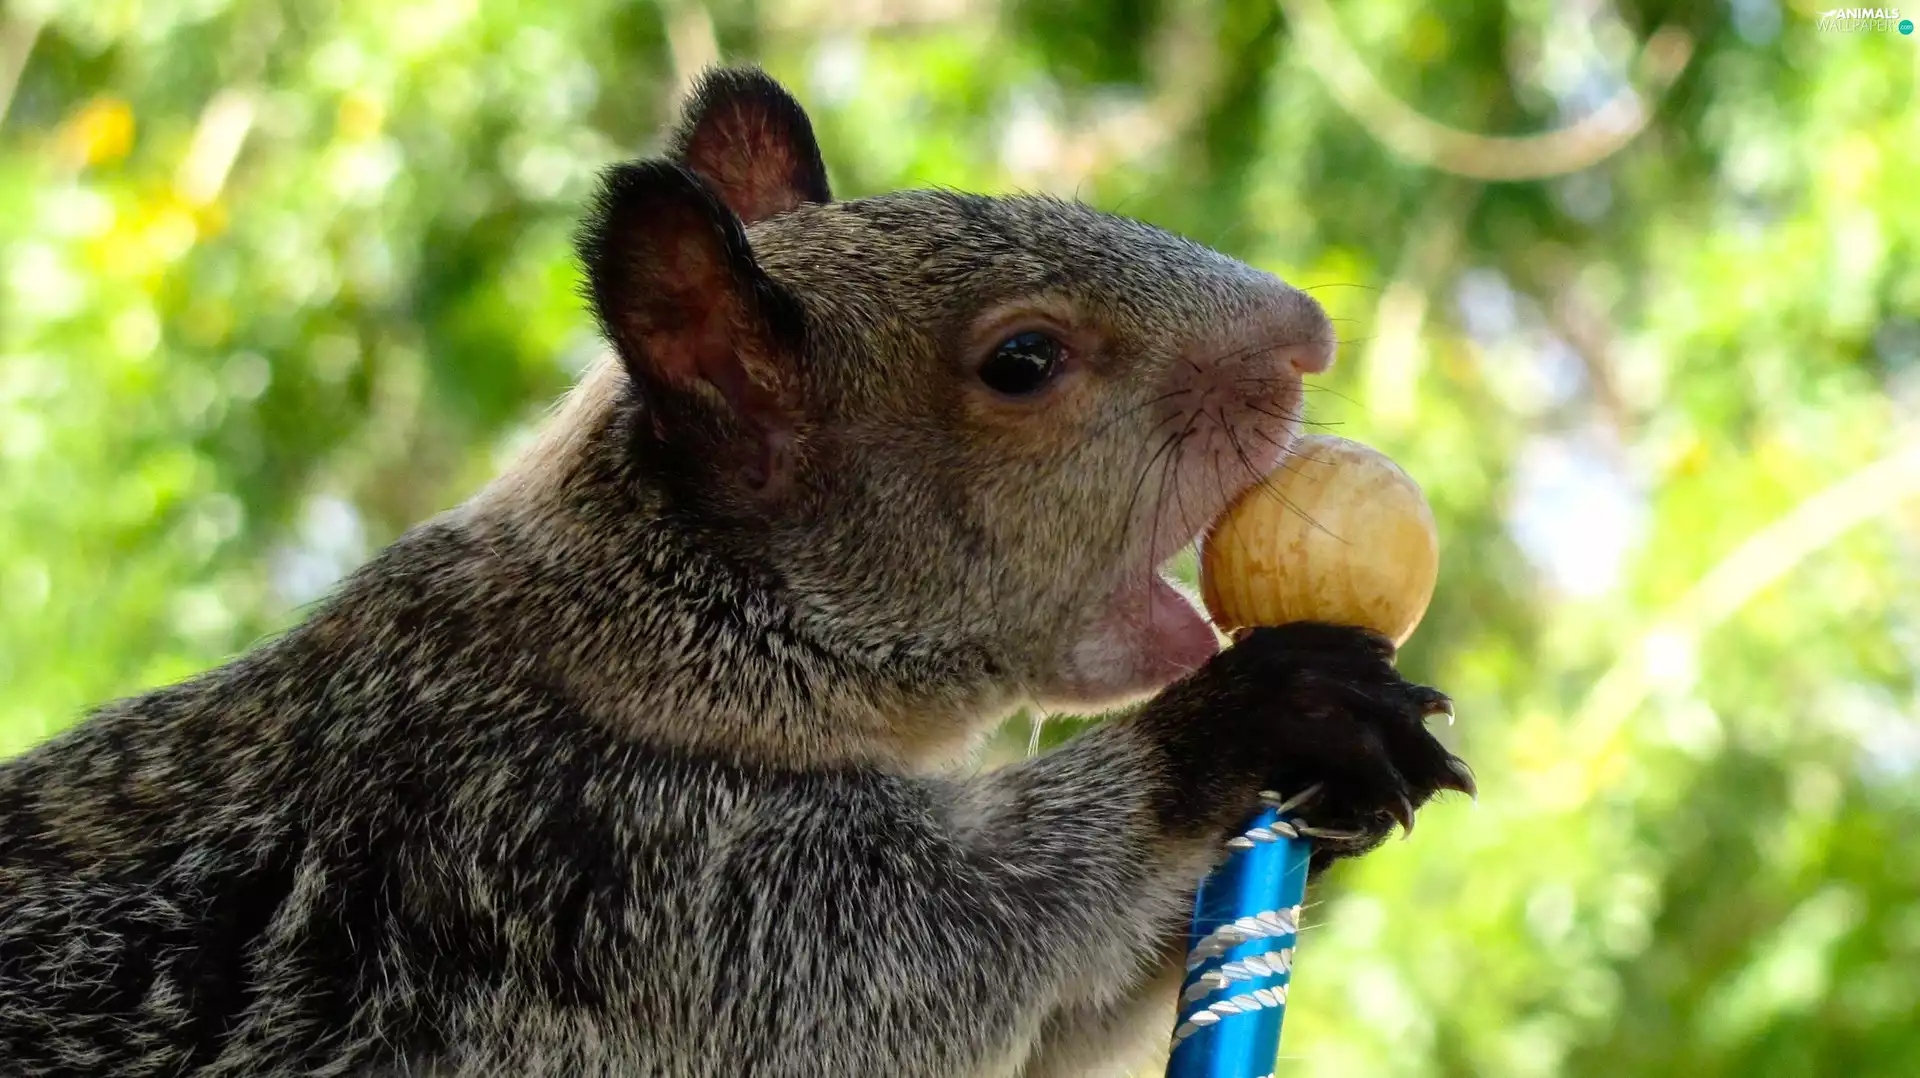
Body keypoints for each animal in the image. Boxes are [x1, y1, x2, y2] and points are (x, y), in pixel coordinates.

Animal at [0, 67, 1472, 1077]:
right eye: (1023, 360)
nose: (1310, 331)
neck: (626, 645)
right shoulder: (601, 877)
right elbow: (947, 949)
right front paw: (1256, 718)